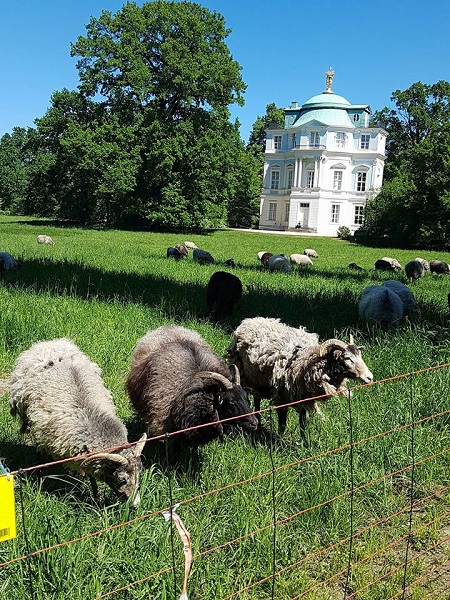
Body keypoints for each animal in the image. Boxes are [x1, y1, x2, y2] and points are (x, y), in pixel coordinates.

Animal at [7, 340, 147, 504]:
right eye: (122, 479)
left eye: (139, 473)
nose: (136, 505)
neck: (92, 423)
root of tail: (47, 343)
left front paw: (96, 498)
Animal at [229, 318, 372, 436]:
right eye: (348, 358)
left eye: (360, 356)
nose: (370, 378)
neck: (306, 362)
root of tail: (250, 320)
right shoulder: (282, 398)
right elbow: (282, 425)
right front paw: (278, 443)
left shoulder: (303, 398)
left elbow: (303, 425)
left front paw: (305, 445)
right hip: (245, 375)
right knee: (257, 400)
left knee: (257, 398)